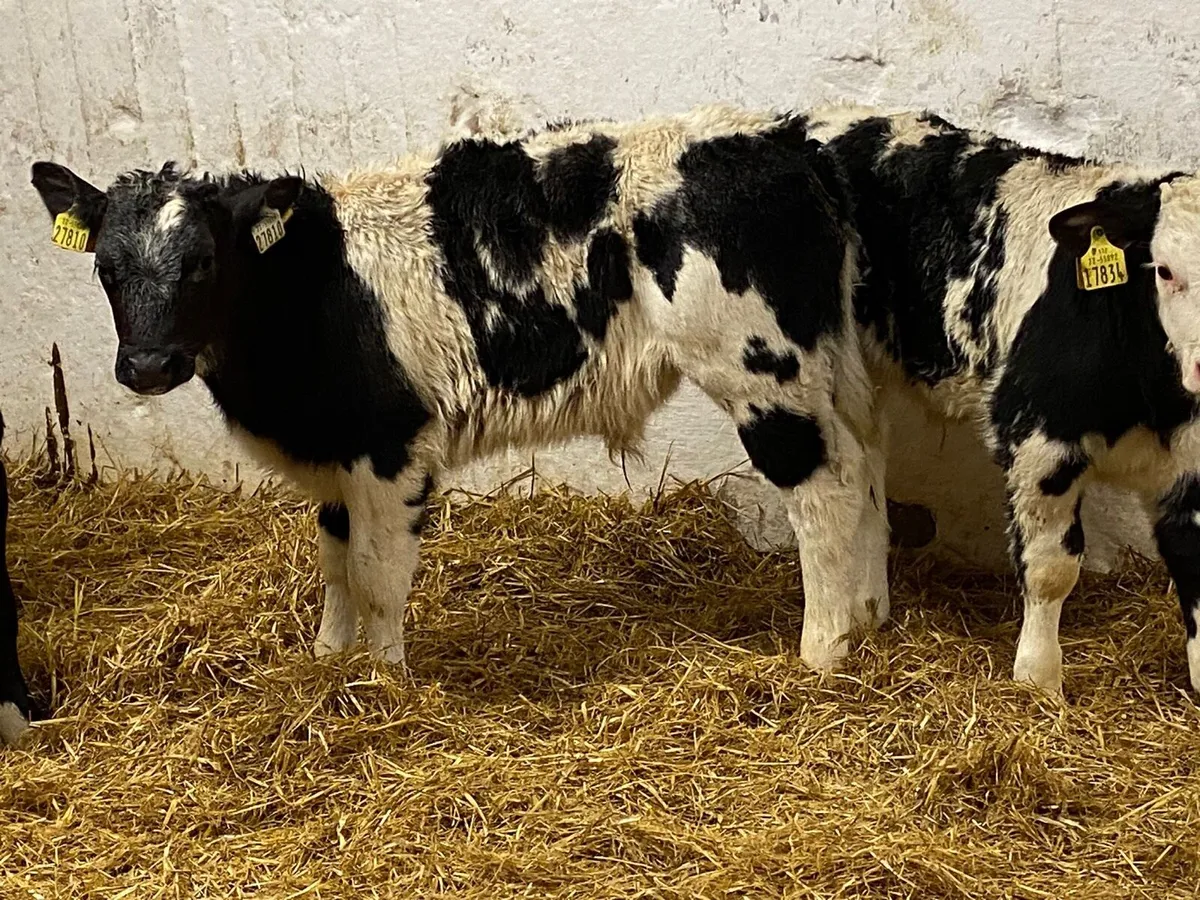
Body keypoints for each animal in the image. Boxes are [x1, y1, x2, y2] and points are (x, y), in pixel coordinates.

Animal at [31, 104, 890, 676]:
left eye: (202, 263)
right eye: (105, 267)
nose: (147, 366)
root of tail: (783, 139)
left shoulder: (390, 447)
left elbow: (377, 574)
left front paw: (385, 682)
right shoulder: (336, 451)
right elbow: (333, 559)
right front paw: (327, 658)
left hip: (760, 367)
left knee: (825, 488)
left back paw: (821, 651)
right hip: (833, 364)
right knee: (869, 464)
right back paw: (870, 615)